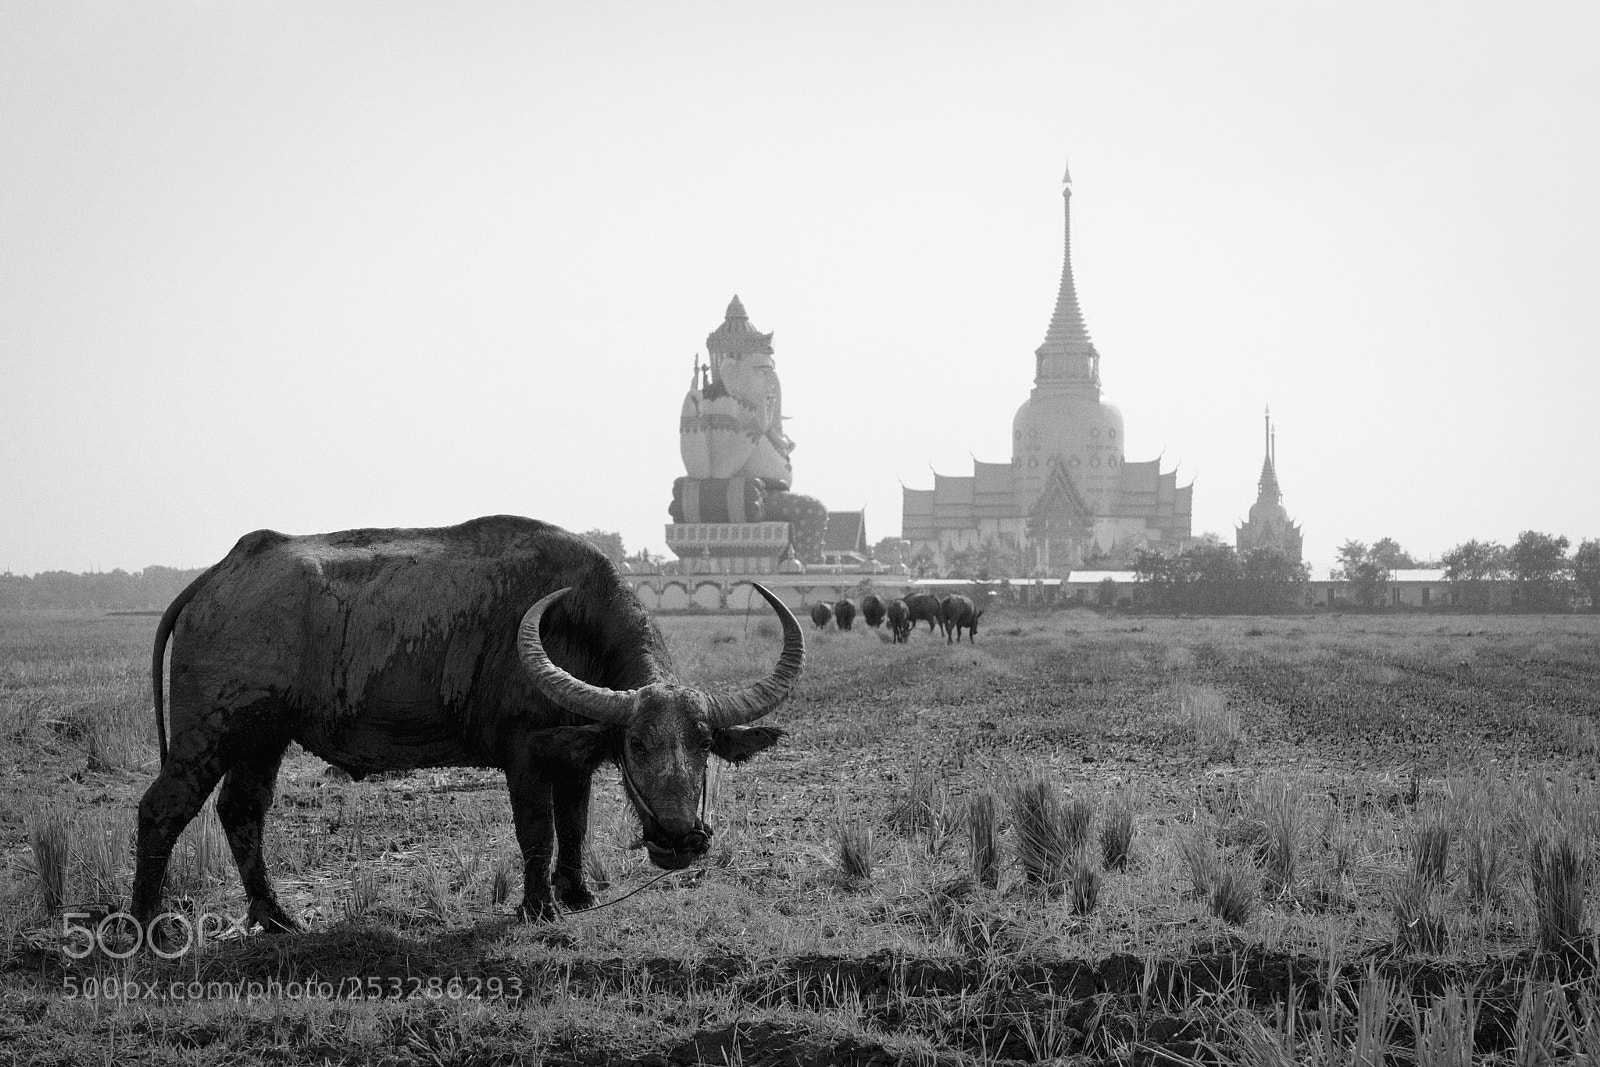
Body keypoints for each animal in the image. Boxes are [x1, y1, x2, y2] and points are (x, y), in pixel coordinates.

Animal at [131, 516, 803, 932]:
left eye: (704, 744)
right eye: (637, 744)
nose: (681, 839)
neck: (573, 623)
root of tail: (221, 573)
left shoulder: (576, 760)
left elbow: (575, 827)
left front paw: (577, 894)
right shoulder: (525, 756)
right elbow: (537, 833)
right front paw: (538, 908)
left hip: (262, 738)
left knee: (242, 810)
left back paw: (276, 919)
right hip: (206, 735)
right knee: (163, 809)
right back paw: (146, 926)